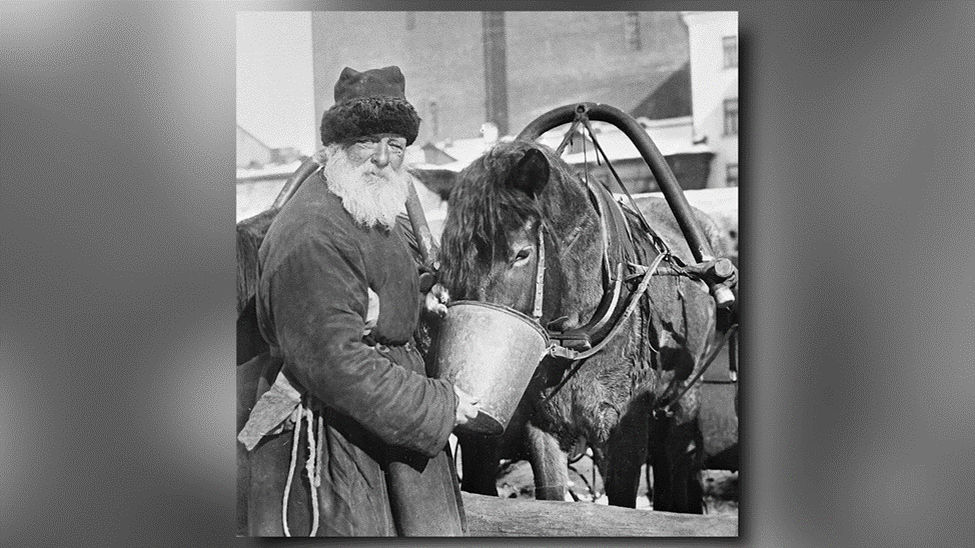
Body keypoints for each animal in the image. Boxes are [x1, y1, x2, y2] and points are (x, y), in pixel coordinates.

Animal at [438, 139, 728, 512]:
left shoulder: (624, 429)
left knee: (675, 464)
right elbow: (551, 494)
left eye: (521, 254)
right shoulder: (544, 426)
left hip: (684, 398)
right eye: (451, 256)